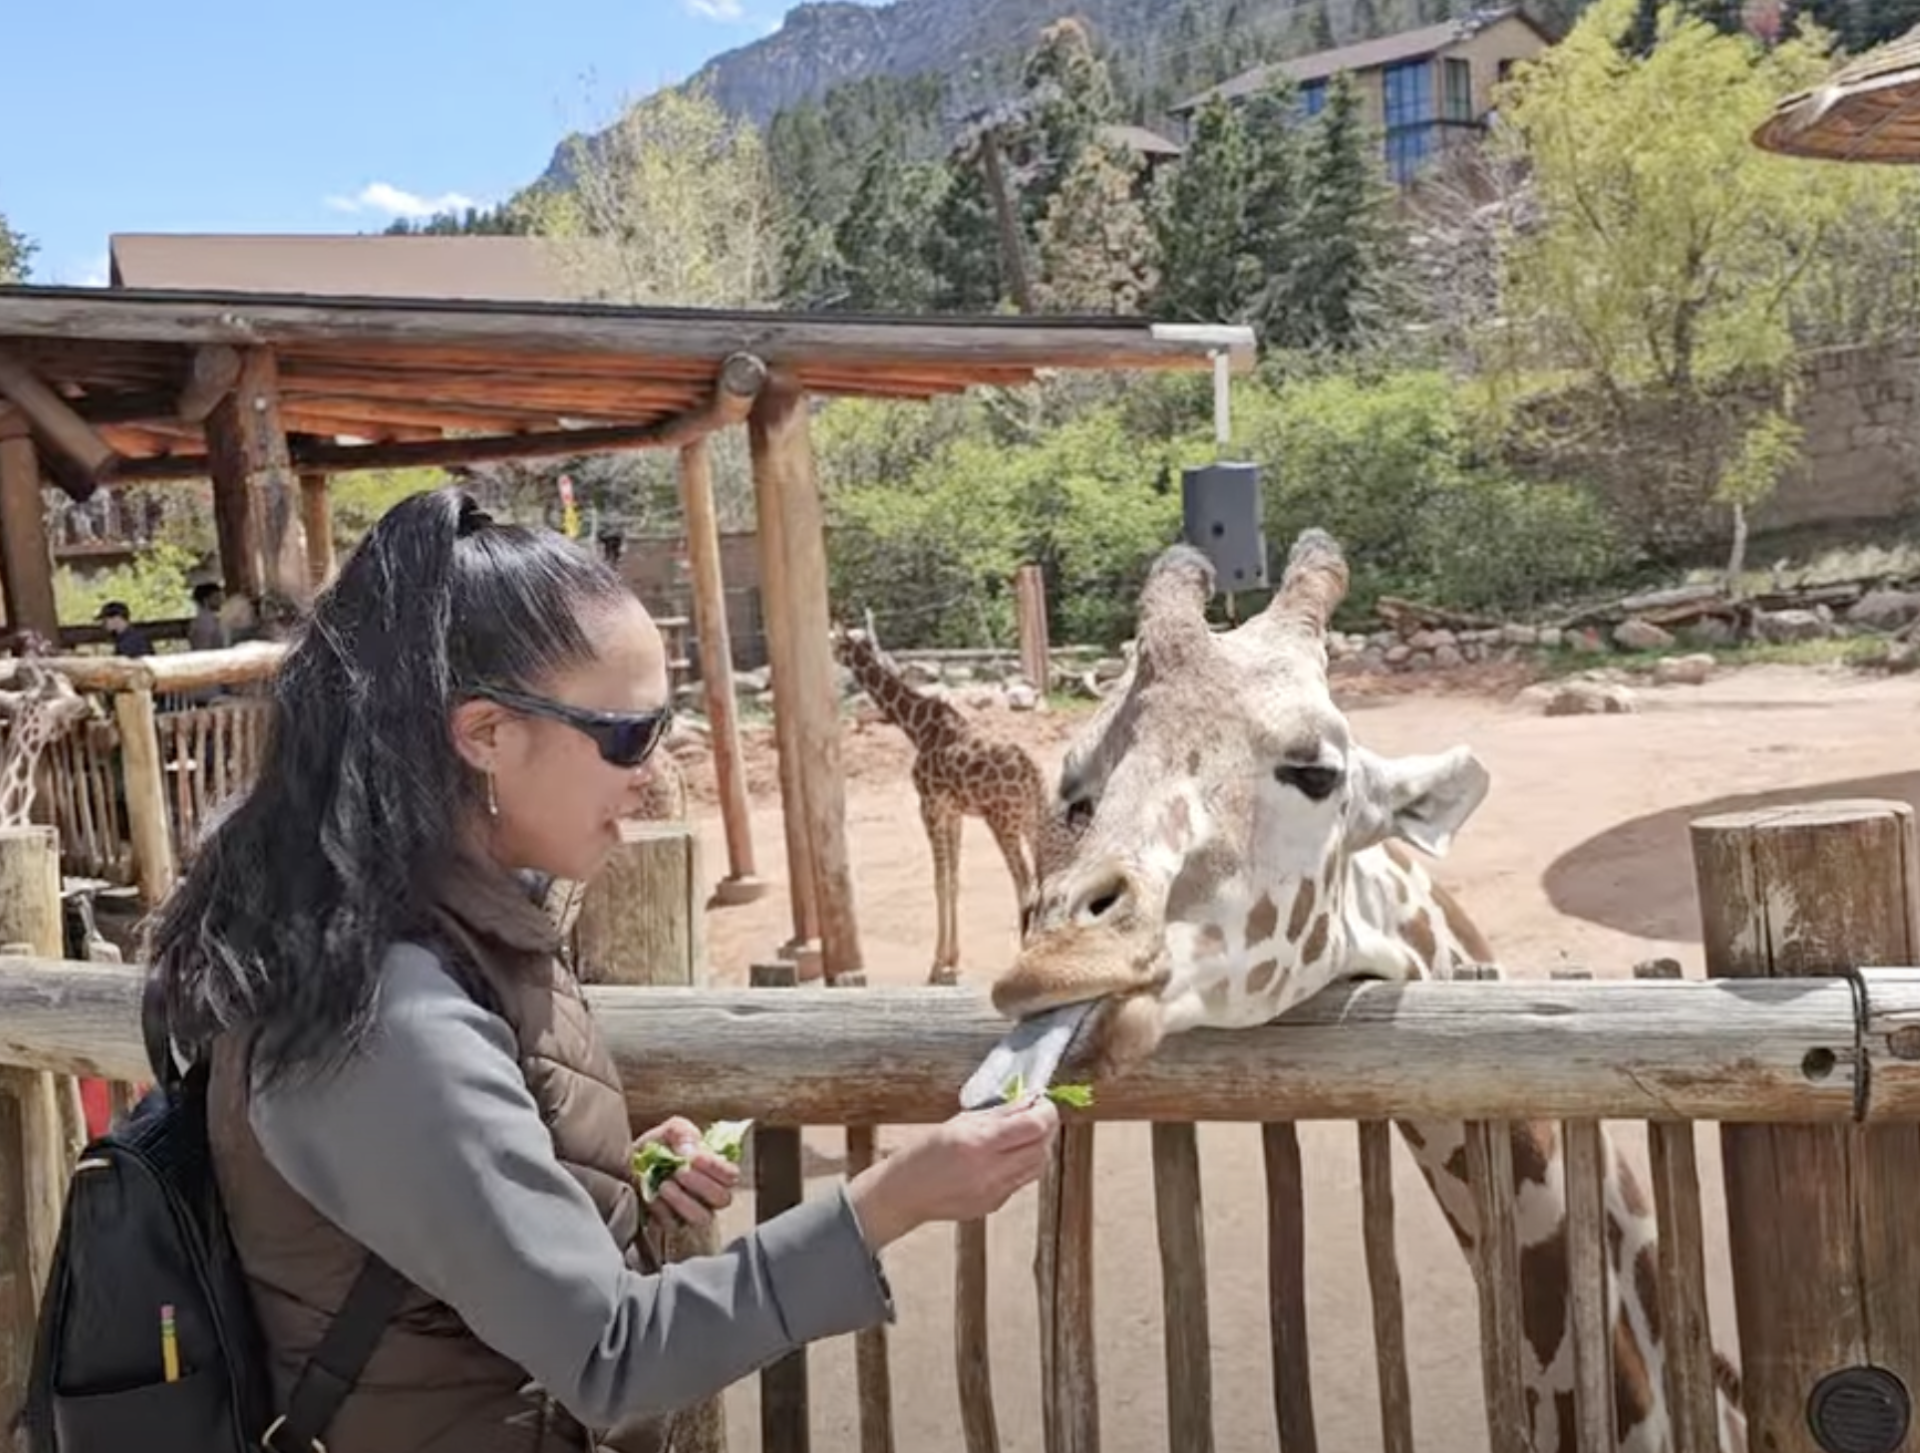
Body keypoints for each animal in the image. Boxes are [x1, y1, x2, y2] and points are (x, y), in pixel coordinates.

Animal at [831, 622, 1047, 985]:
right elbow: (954, 880)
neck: (915, 727)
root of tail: (1033, 772)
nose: (830, 660)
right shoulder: (953, 812)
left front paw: (936, 964)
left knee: (1024, 879)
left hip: (1002, 821)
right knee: (1043, 875)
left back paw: (1025, 952)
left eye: (833, 642)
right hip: (1031, 821)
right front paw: (952, 959)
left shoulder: (929, 806)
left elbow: (938, 882)